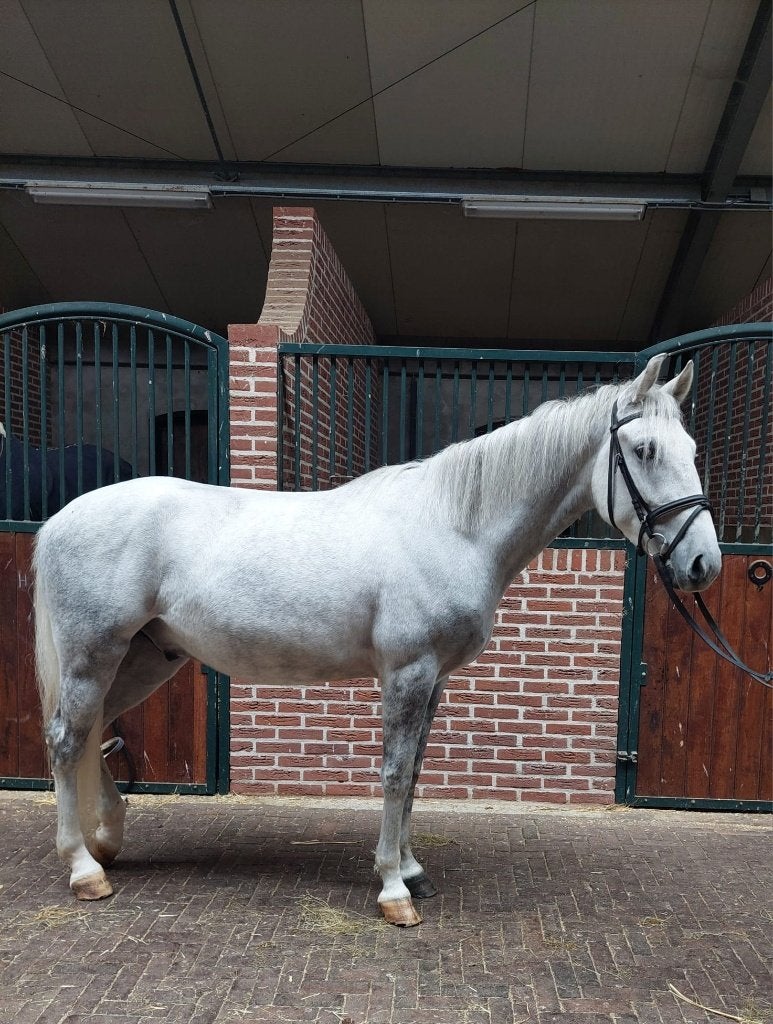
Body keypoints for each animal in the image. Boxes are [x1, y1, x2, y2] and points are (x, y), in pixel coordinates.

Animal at [32, 354, 721, 926]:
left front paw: (412, 870)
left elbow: (413, 772)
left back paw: (107, 842)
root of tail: (60, 520)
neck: (454, 527)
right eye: (645, 449)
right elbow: (393, 772)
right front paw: (393, 889)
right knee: (68, 739)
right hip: (96, 654)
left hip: (147, 657)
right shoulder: (407, 671)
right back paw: (84, 870)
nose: (703, 564)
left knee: (94, 731)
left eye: (691, 446)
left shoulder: (435, 677)